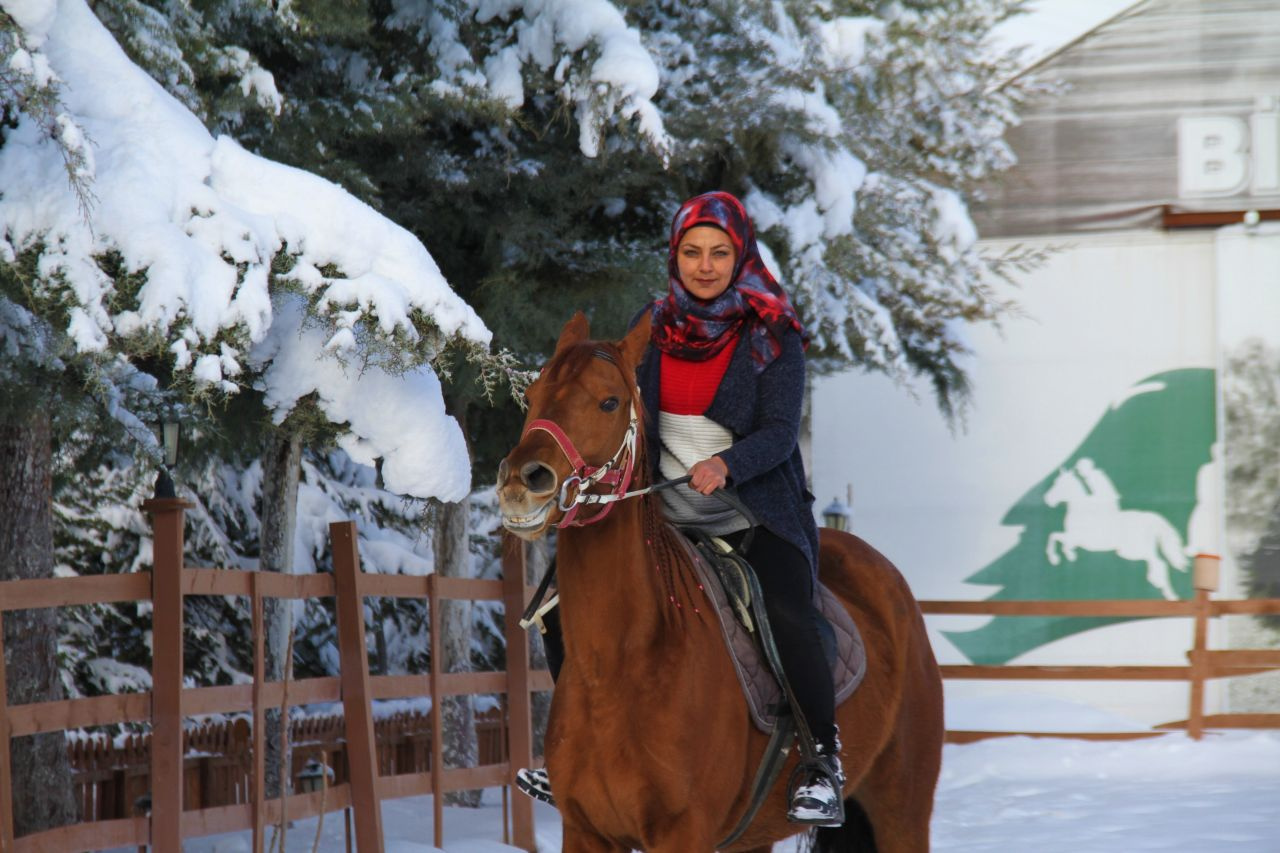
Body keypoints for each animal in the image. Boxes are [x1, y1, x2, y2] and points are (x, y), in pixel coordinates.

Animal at [494, 312, 947, 850]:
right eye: (533, 394)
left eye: (609, 401)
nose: (521, 483)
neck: (624, 663)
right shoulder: (585, 832)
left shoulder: (683, 831)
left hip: (902, 813)